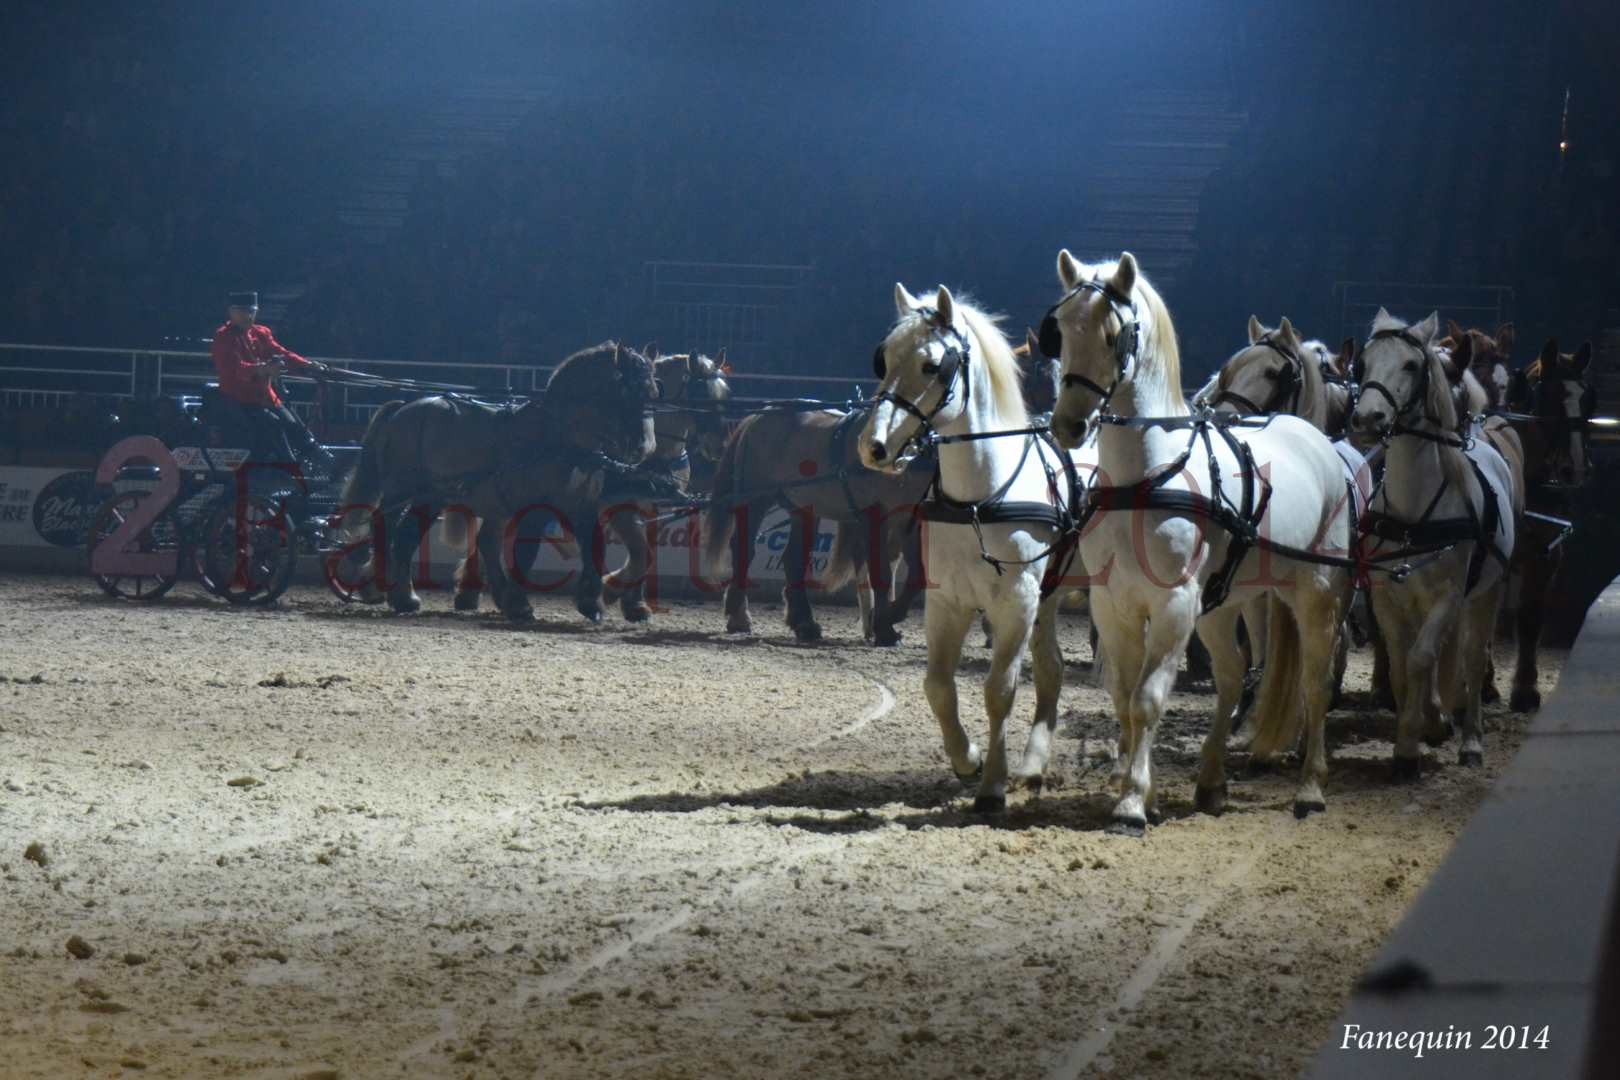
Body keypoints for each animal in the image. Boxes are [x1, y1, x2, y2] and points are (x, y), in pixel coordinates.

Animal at [338, 341, 660, 621]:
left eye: (654, 392)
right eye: (626, 390)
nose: (644, 448)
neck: (556, 436)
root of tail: (404, 408)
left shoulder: (581, 503)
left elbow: (594, 546)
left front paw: (591, 602)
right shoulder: (537, 507)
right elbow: (524, 551)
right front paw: (518, 603)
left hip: (430, 497)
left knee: (406, 538)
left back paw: (404, 598)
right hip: (401, 490)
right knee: (386, 528)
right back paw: (382, 588)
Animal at [855, 284, 1082, 809]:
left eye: (932, 365)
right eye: (883, 358)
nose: (873, 446)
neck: (982, 495)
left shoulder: (1016, 602)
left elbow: (999, 690)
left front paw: (992, 785)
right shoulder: (947, 601)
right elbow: (938, 686)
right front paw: (968, 761)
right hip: (1049, 596)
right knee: (1053, 668)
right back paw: (1033, 764)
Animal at [1036, 254, 1354, 829]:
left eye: (1116, 335)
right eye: (1060, 330)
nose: (1069, 424)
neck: (1145, 476)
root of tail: (1315, 439)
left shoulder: (1174, 604)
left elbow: (1147, 699)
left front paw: (1133, 802)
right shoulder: (1114, 604)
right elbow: (1123, 697)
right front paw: (1140, 790)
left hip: (1316, 592)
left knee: (1316, 681)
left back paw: (1311, 787)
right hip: (1220, 605)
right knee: (1231, 676)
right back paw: (1210, 783)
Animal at [1354, 307, 1516, 773]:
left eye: (1411, 365)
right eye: (1363, 363)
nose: (1368, 418)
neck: (1414, 509)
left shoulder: (1448, 595)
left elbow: (1423, 656)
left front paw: (1411, 744)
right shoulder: (1386, 595)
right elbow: (1400, 663)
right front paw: (1419, 726)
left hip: (1486, 592)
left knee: (1473, 655)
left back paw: (1471, 740)